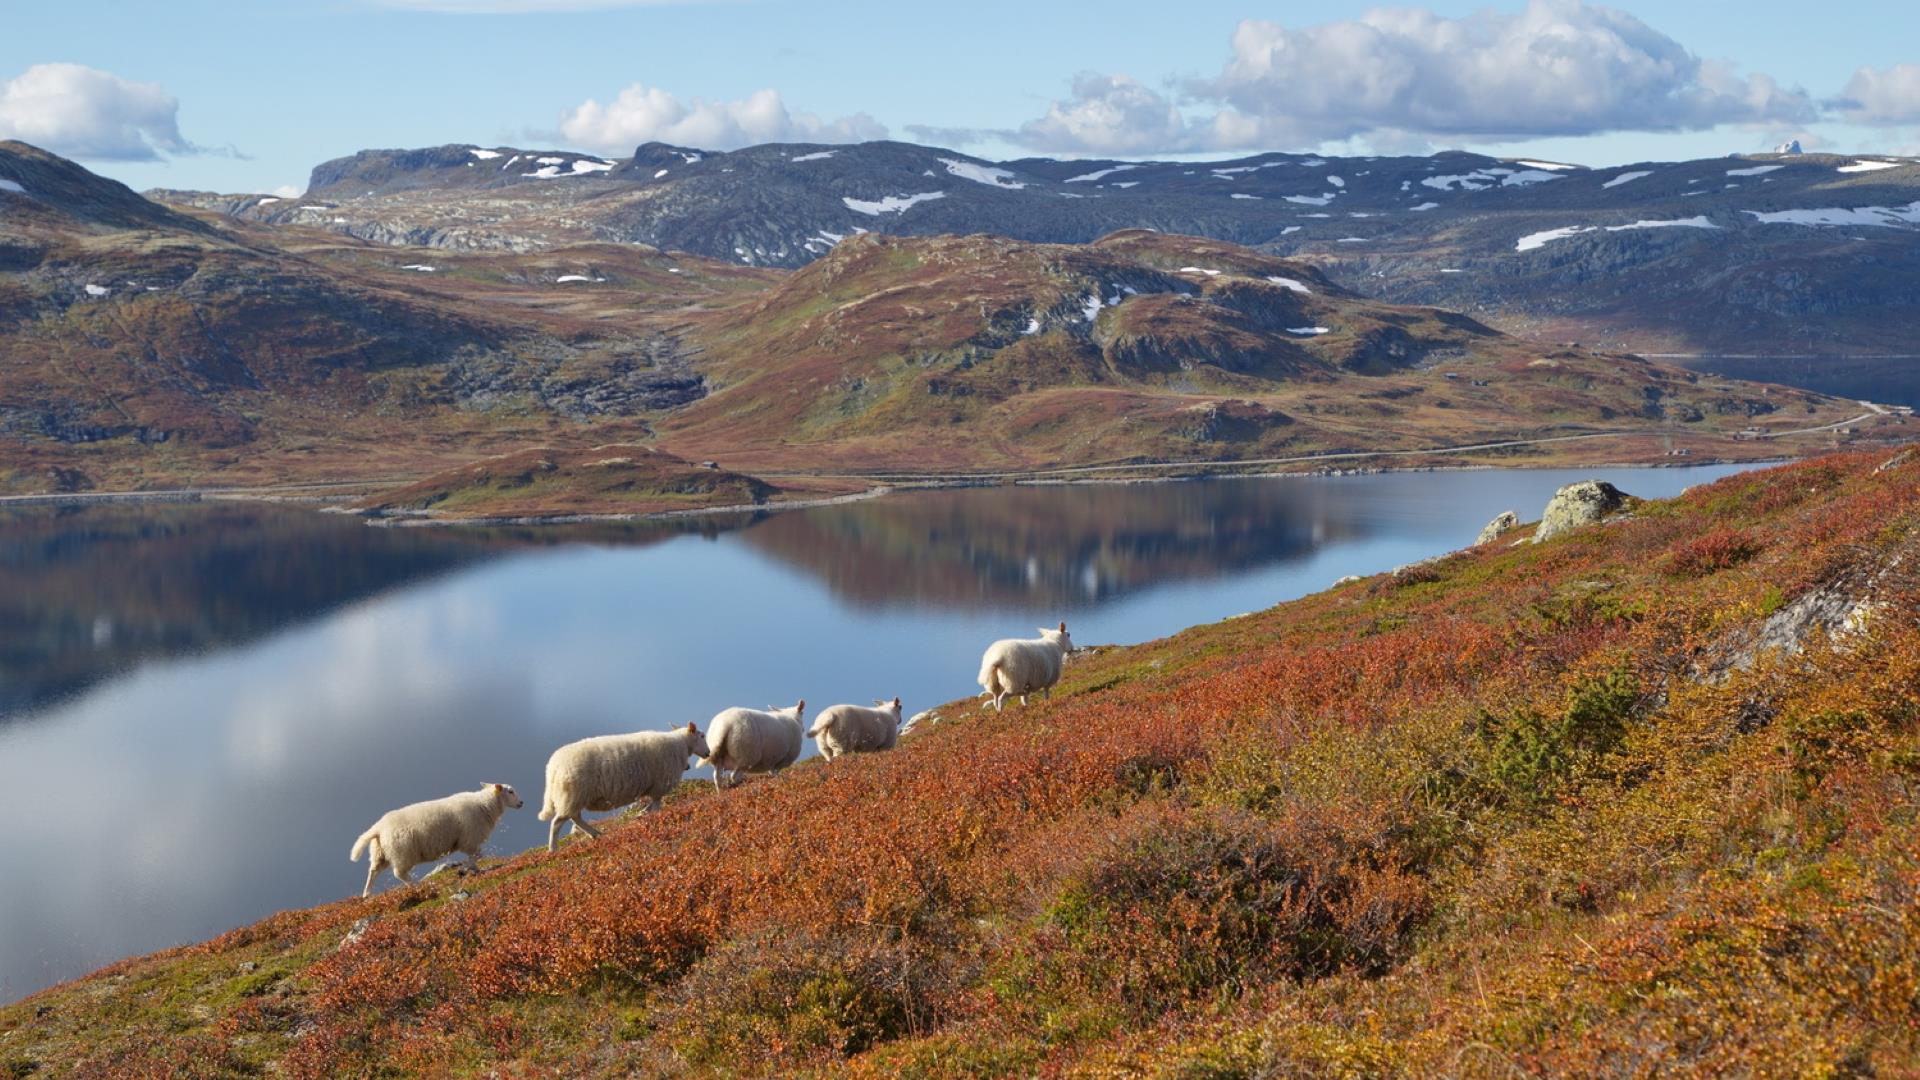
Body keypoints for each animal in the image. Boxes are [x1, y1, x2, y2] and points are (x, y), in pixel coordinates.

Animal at [349, 776, 522, 895]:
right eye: (510, 791)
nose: (522, 803)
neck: (485, 804)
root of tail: (378, 827)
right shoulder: (469, 840)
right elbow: (478, 856)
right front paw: (467, 868)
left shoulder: (468, 842)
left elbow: (477, 856)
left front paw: (471, 869)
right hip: (402, 853)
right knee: (399, 873)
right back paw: (416, 885)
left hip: (380, 853)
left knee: (373, 871)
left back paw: (366, 895)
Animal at [541, 718, 714, 853]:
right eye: (702, 736)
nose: (708, 753)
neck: (680, 745)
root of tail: (552, 768)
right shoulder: (659, 785)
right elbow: (656, 806)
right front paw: (653, 819)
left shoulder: (654, 788)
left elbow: (650, 806)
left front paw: (641, 814)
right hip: (573, 794)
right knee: (558, 822)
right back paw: (553, 850)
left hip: (573, 797)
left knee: (575, 817)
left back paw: (595, 834)